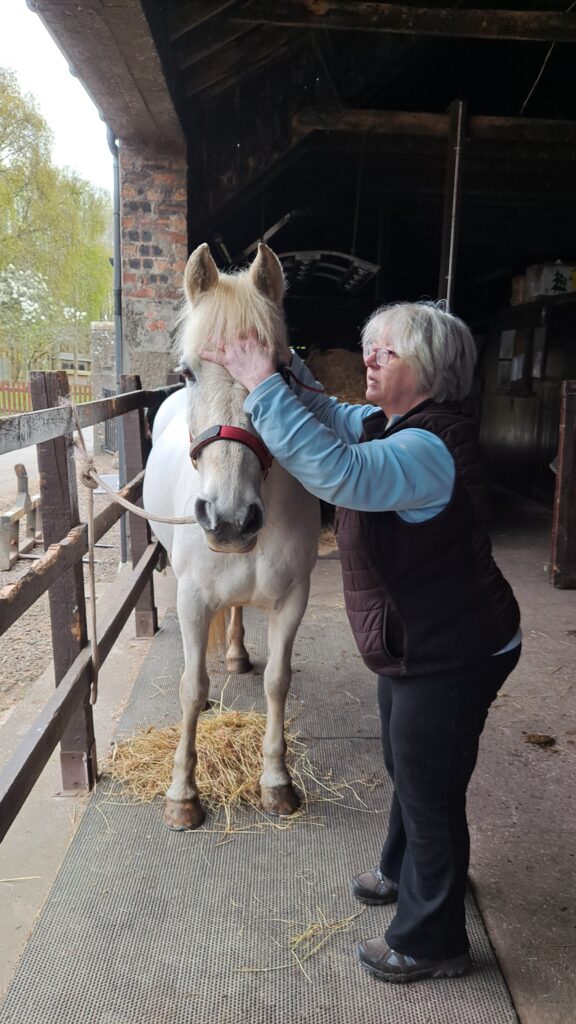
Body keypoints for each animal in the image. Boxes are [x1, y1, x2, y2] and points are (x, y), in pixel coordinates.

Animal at [143, 242, 321, 830]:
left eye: (281, 370)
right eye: (188, 373)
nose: (229, 519)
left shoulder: (292, 599)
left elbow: (277, 682)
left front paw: (276, 782)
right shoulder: (192, 601)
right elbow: (191, 687)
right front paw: (182, 795)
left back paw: (239, 654)